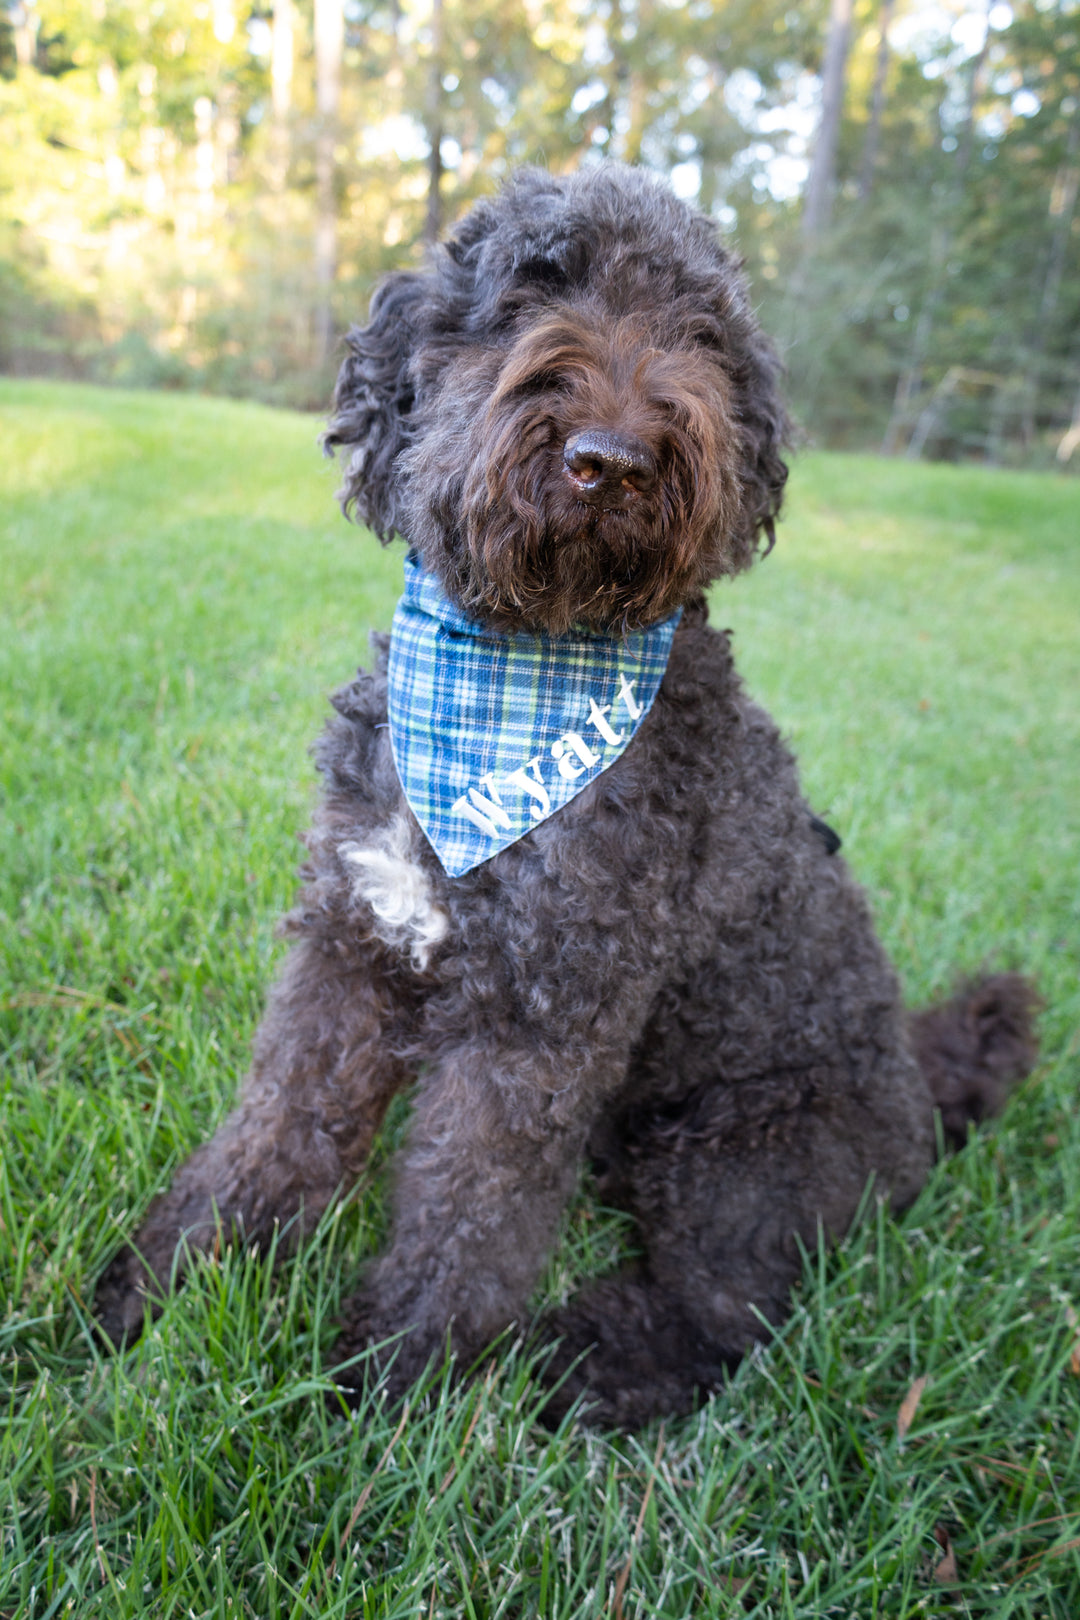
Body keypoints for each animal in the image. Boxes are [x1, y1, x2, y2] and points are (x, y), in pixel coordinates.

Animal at [97, 167, 1042, 1432]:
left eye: (701, 333)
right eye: (525, 296)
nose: (615, 458)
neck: (510, 670)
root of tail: (919, 1096)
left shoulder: (540, 1016)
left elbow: (469, 1209)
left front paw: (397, 1382)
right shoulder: (350, 945)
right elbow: (281, 1122)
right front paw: (175, 1274)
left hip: (740, 1160)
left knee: (726, 1315)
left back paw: (580, 1361)